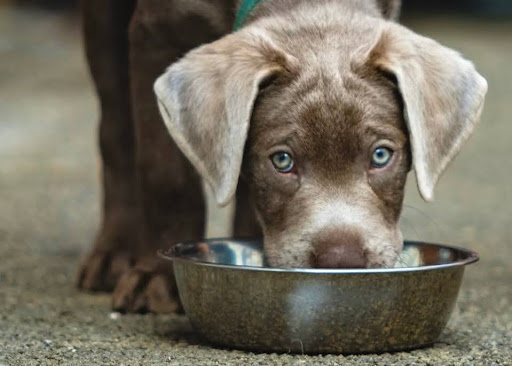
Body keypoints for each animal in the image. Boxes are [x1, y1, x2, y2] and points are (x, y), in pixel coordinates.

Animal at [78, 0, 486, 314]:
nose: (341, 261)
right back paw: (113, 256)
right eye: (283, 161)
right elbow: (164, 175)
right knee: (114, 130)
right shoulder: (155, 31)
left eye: (381, 155)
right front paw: (157, 281)